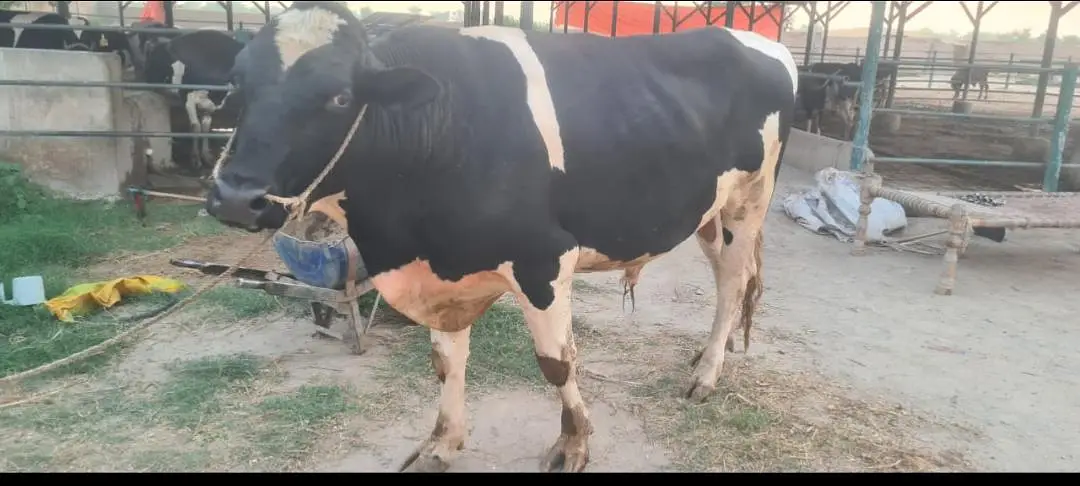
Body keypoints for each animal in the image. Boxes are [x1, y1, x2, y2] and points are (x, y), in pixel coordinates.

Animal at [169, 1, 797, 472]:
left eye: (340, 97)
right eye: (238, 82)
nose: (234, 197)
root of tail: (760, 41)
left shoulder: (545, 259)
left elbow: (556, 363)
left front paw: (573, 443)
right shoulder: (441, 269)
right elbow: (446, 363)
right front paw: (441, 444)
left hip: (749, 202)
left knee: (733, 285)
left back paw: (706, 374)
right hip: (709, 213)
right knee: (729, 280)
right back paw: (708, 355)